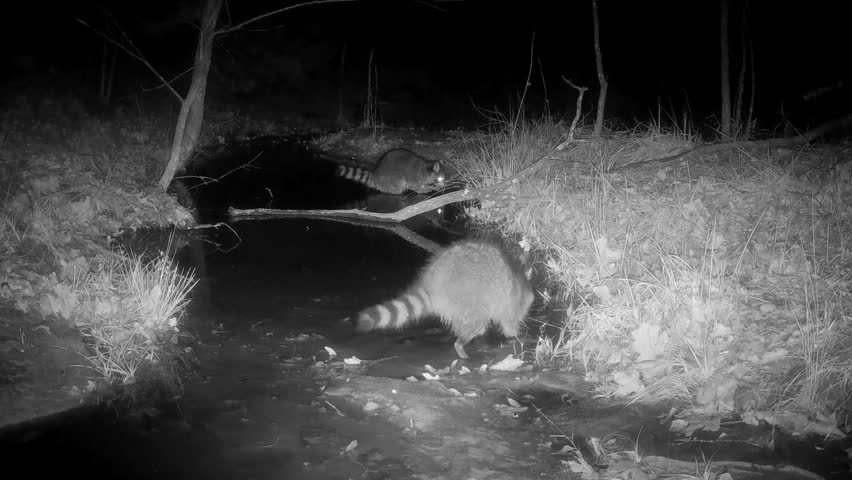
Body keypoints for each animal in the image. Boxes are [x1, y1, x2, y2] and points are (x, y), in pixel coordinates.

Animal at [355, 239, 534, 359]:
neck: (520, 280)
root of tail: (433, 281)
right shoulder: (510, 303)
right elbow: (509, 325)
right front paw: (516, 335)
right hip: (471, 298)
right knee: (476, 323)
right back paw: (461, 344)